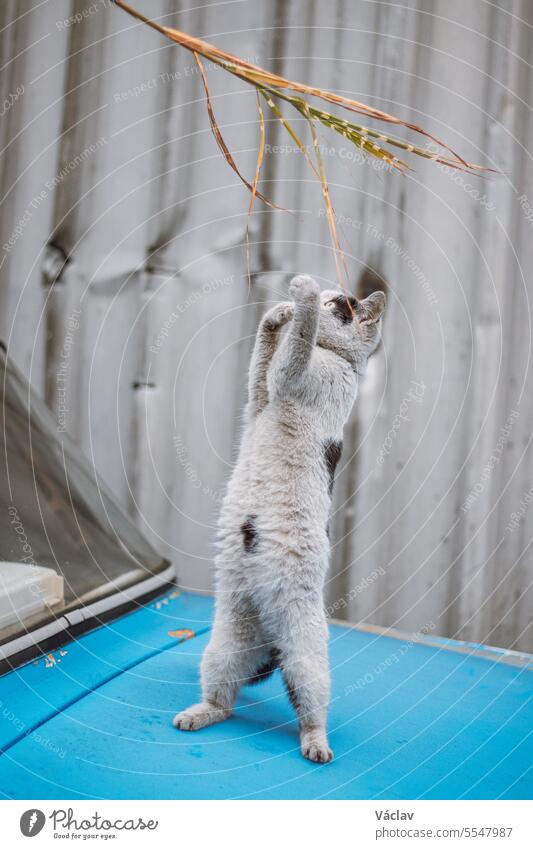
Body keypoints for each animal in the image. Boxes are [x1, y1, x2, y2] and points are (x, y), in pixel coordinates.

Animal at [172, 274, 384, 760]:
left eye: (342, 305)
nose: (327, 298)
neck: (336, 358)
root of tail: (270, 642)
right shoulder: (259, 395)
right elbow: (265, 351)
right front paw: (281, 311)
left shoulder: (291, 378)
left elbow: (296, 345)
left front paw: (299, 297)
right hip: (223, 649)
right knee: (224, 700)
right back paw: (198, 714)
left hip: (307, 662)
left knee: (311, 708)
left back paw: (317, 745)